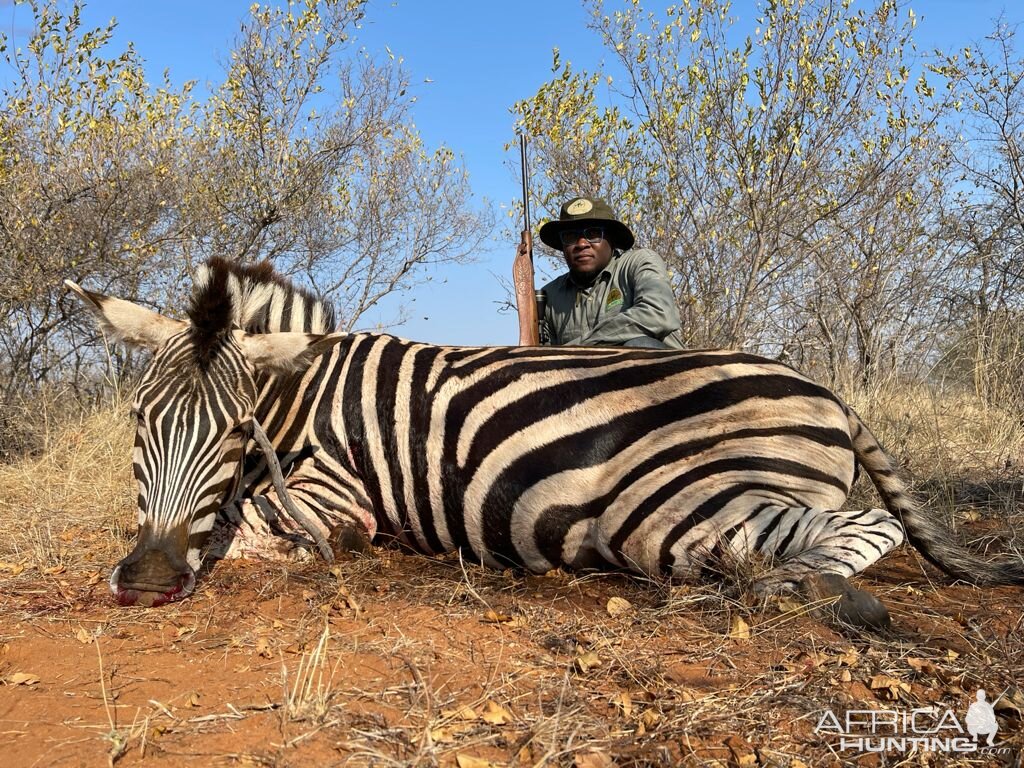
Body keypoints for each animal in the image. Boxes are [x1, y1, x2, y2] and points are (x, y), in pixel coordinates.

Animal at [66, 259, 1024, 626]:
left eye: (236, 429)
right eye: (139, 422)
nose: (144, 581)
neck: (306, 396)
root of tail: (828, 391)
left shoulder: (336, 502)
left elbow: (253, 533)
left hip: (671, 514)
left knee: (852, 533)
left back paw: (790, 591)